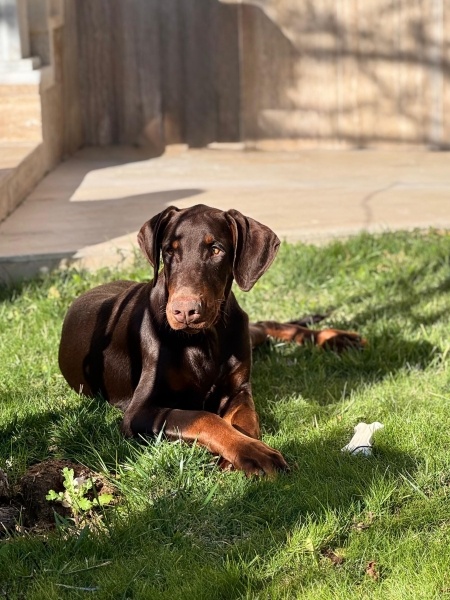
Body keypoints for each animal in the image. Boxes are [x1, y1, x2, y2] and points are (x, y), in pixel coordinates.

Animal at [59, 204, 362, 476]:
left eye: (216, 249)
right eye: (169, 251)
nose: (184, 311)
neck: (203, 340)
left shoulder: (239, 389)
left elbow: (245, 420)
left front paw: (242, 451)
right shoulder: (139, 411)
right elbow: (203, 417)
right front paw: (252, 452)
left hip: (243, 328)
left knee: (264, 325)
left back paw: (337, 338)